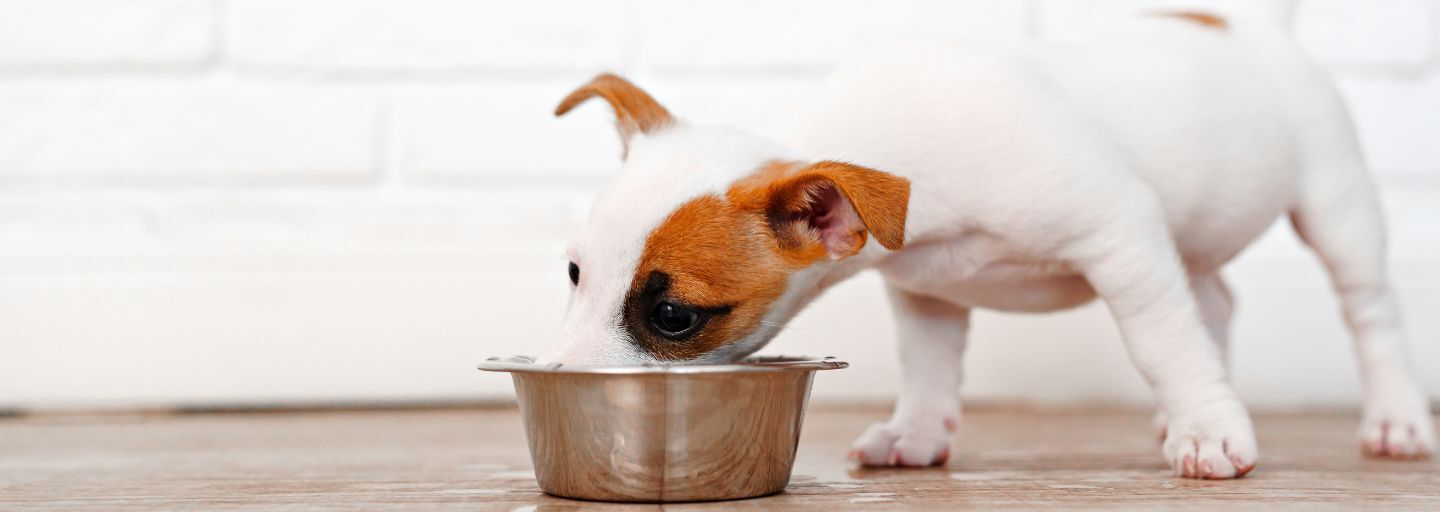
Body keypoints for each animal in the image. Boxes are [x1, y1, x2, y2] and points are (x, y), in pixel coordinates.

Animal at [544, 1, 1434, 480]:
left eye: (674, 318)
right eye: (574, 272)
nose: (559, 378)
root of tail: (1249, 28)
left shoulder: (1123, 237)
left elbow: (1161, 344)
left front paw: (1210, 431)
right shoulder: (924, 288)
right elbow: (929, 367)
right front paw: (916, 433)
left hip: (1337, 205)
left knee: (1368, 314)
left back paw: (1392, 419)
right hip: (1199, 239)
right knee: (1212, 300)